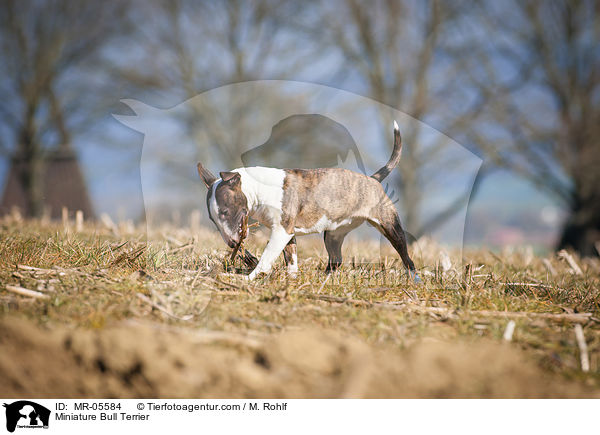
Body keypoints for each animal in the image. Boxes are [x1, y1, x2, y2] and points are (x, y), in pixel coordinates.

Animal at [197, 121, 418, 282]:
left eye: (225, 211)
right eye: (212, 219)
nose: (232, 243)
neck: (259, 188)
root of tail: (373, 179)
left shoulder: (281, 231)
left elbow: (266, 258)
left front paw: (248, 279)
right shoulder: (288, 233)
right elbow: (291, 259)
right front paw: (292, 280)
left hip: (389, 226)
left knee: (406, 257)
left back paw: (414, 280)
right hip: (333, 234)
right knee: (336, 260)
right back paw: (324, 280)